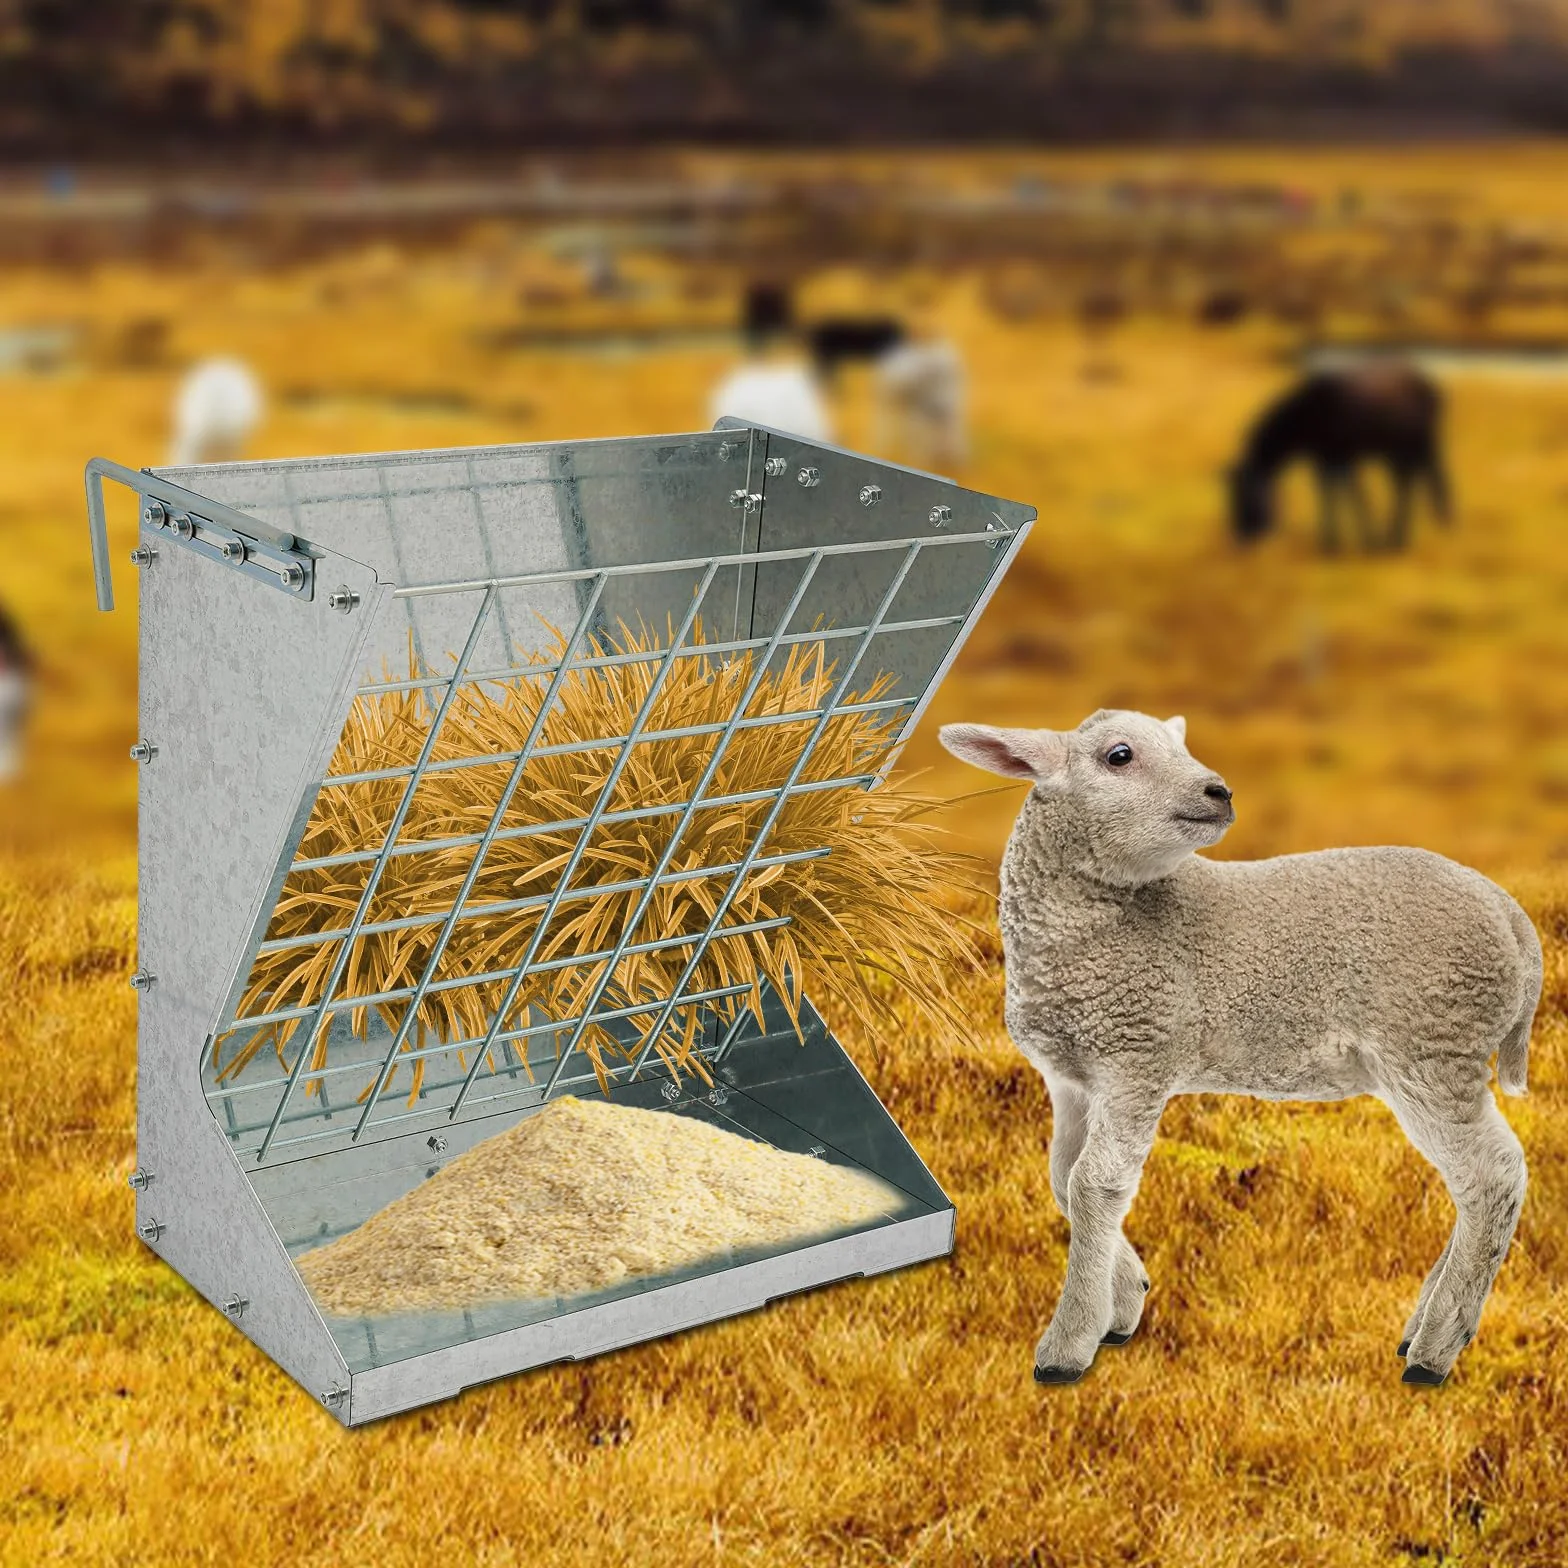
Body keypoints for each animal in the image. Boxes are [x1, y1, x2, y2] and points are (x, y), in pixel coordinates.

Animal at [939, 708, 1539, 1388]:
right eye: (1119, 755)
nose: (1218, 791)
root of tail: (1510, 915)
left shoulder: (1138, 1055)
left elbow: (1097, 1184)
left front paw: (1068, 1343)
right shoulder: (1072, 1078)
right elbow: (1065, 1179)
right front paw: (1126, 1298)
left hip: (1433, 1043)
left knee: (1494, 1174)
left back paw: (1435, 1349)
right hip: (1436, 1050)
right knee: (1479, 1184)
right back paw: (1425, 1327)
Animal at [1229, 365, 1450, 553]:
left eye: (1245, 497)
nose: (1240, 537)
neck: (1306, 418)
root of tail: (1431, 390)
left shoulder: (1343, 456)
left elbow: (1351, 495)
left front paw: (1359, 542)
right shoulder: (1326, 459)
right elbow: (1332, 494)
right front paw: (1334, 542)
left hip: (1408, 448)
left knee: (1412, 484)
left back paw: (1399, 538)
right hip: (1400, 452)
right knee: (1410, 483)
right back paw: (1399, 536)